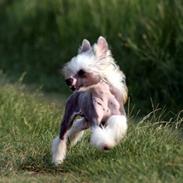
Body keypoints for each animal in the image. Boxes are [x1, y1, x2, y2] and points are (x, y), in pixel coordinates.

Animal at [51, 36, 128, 165]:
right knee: (62, 137)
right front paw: (106, 145)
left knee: (76, 127)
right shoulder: (94, 120)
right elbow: (99, 134)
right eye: (71, 71)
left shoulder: (117, 114)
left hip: (85, 121)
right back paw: (57, 159)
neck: (103, 96)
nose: (68, 80)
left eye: (82, 72)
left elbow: (116, 124)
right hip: (69, 118)